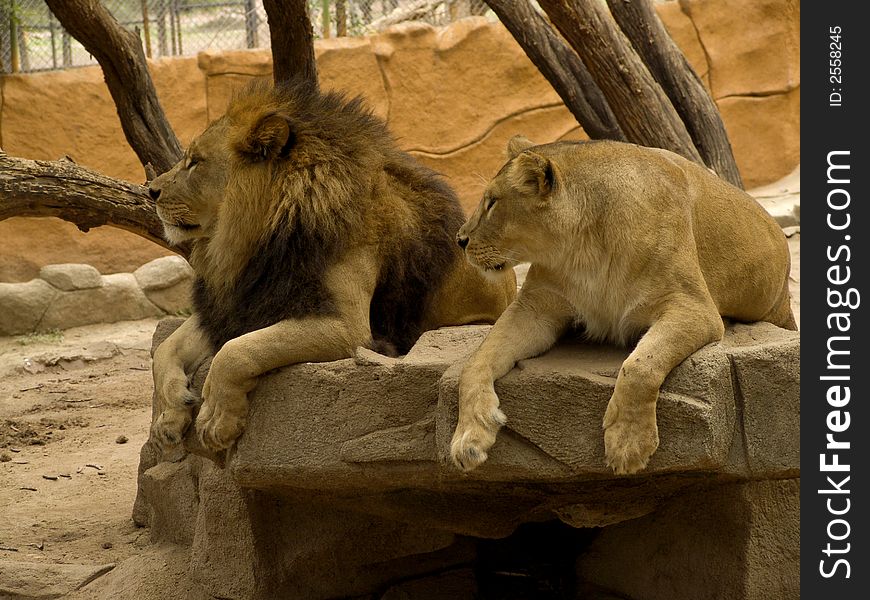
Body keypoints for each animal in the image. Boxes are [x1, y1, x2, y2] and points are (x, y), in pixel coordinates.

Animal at [148, 81, 516, 454]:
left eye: (195, 162)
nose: (151, 191)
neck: (252, 241)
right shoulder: (237, 306)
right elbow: (165, 349)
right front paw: (169, 416)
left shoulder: (345, 326)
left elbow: (235, 351)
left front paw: (216, 420)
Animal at [454, 135, 800, 474]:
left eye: (492, 202)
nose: (460, 240)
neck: (581, 248)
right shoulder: (535, 308)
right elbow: (475, 362)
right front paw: (469, 438)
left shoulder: (694, 308)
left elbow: (639, 365)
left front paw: (628, 443)